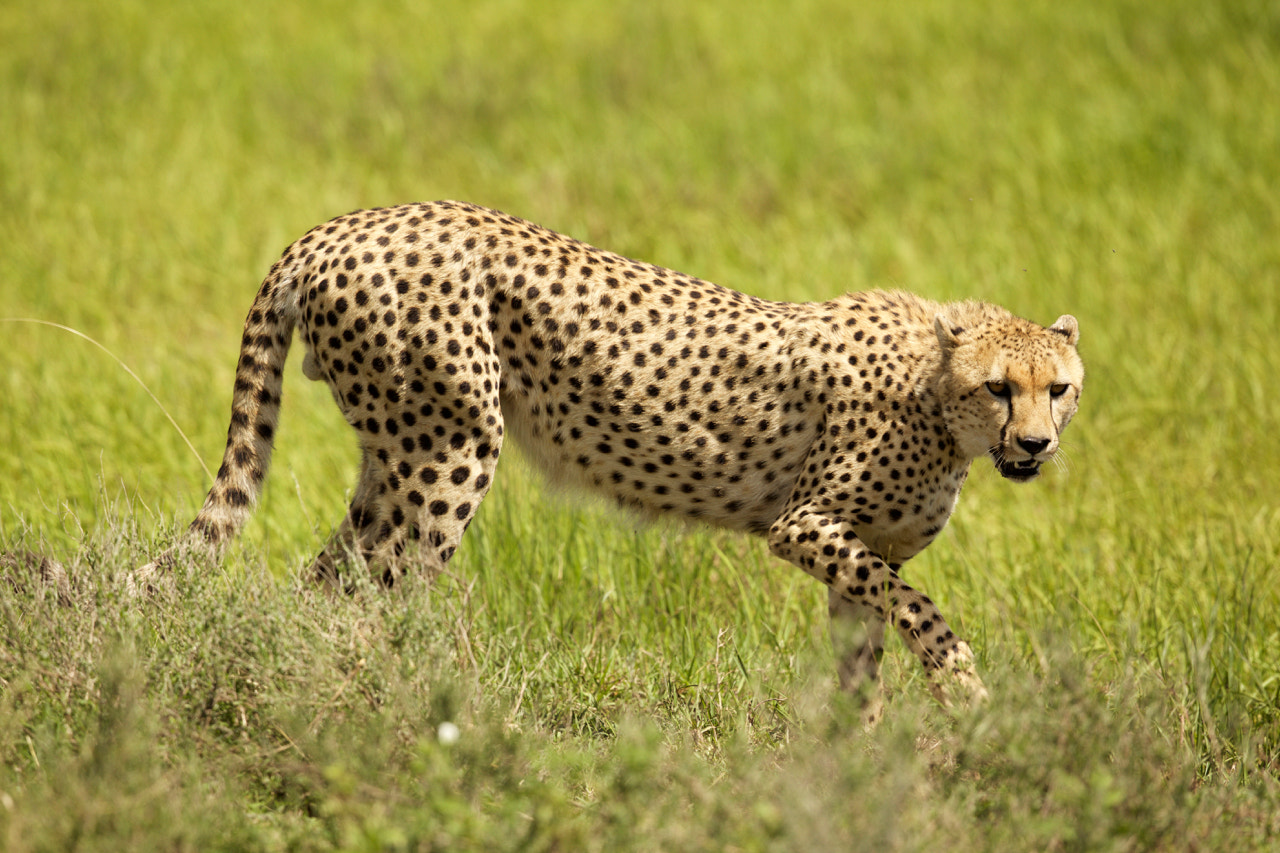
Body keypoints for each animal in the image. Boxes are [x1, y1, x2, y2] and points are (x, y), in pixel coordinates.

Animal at [142, 200, 1085, 718]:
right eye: (1000, 387)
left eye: (1060, 389)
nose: (1036, 444)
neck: (936, 397)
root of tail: (343, 225)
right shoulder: (805, 524)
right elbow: (924, 614)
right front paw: (965, 692)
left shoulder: (865, 550)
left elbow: (869, 648)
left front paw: (858, 764)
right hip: (451, 450)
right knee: (382, 595)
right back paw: (400, 716)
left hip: (394, 455)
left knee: (321, 587)